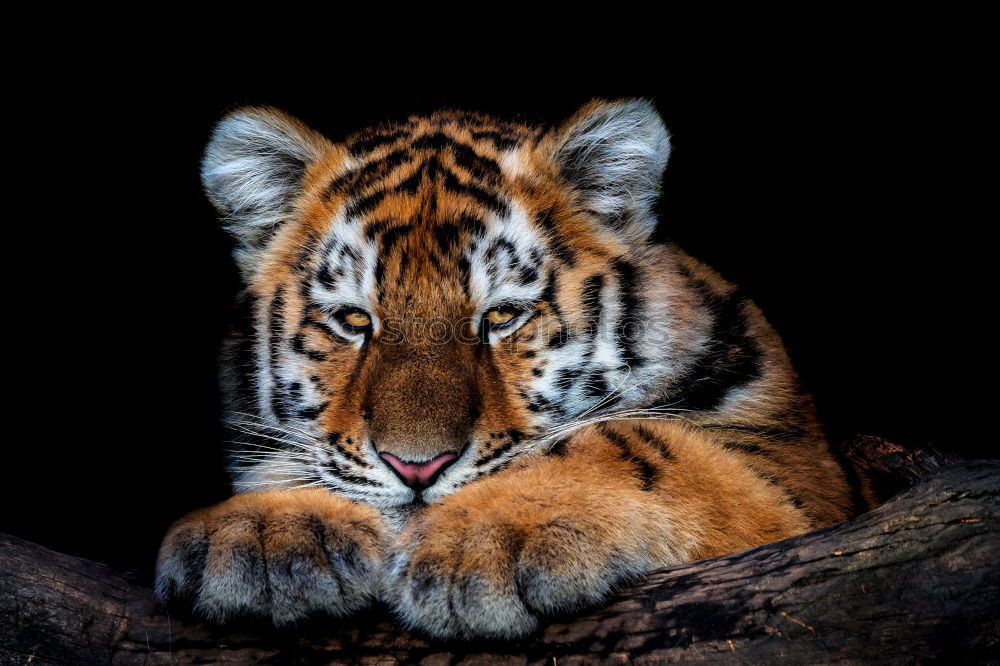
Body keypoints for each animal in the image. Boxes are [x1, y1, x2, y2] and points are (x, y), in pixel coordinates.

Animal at [154, 100, 868, 640]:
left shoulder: (795, 471)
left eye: (501, 316)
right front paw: (263, 528)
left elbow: (635, 442)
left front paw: (482, 540)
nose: (418, 469)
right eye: (354, 321)